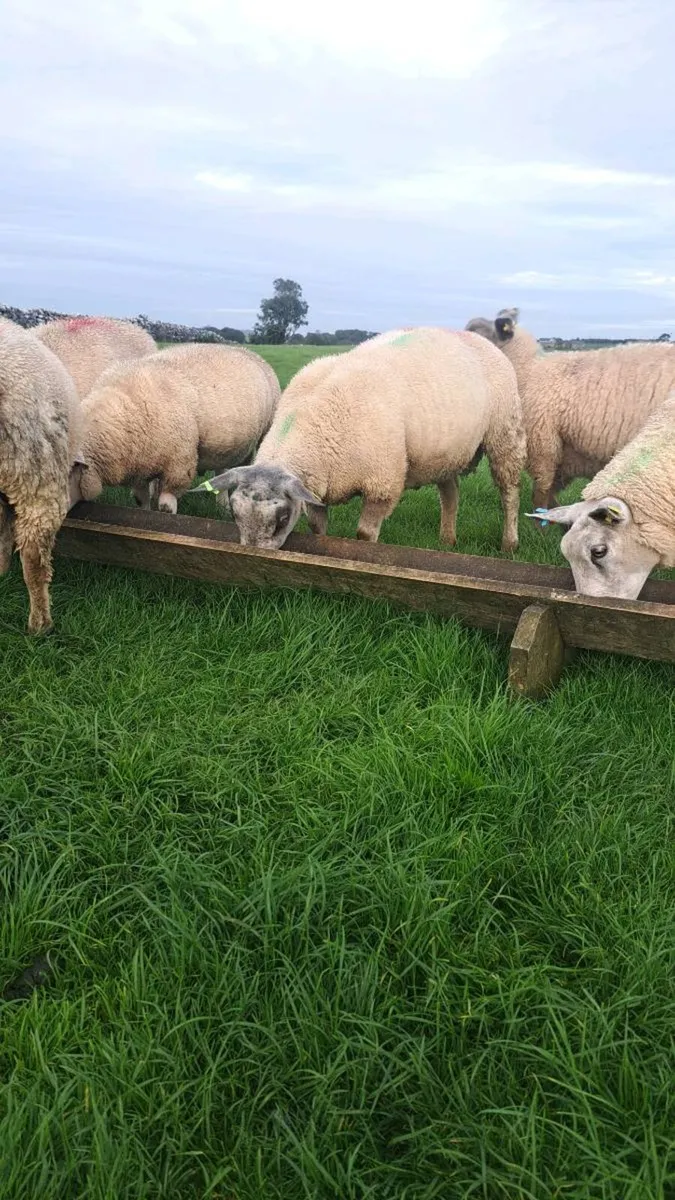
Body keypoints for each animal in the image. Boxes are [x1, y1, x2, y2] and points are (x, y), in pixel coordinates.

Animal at [69, 343, 281, 512]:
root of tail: (247, 350)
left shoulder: (179, 464)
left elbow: (165, 506)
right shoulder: (141, 464)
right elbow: (141, 501)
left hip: (264, 433)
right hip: (224, 447)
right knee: (222, 470)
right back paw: (222, 504)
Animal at [190, 326, 527, 552]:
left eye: (283, 518)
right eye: (235, 513)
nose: (256, 554)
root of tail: (479, 339)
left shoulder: (382, 484)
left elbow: (365, 534)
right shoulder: (317, 486)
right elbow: (317, 528)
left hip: (505, 432)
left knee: (509, 492)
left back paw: (509, 543)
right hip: (444, 452)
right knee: (451, 493)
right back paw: (447, 540)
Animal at [465, 307, 675, 511]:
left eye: (474, 331)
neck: (528, 369)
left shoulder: (543, 442)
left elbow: (541, 493)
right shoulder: (563, 452)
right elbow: (550, 493)